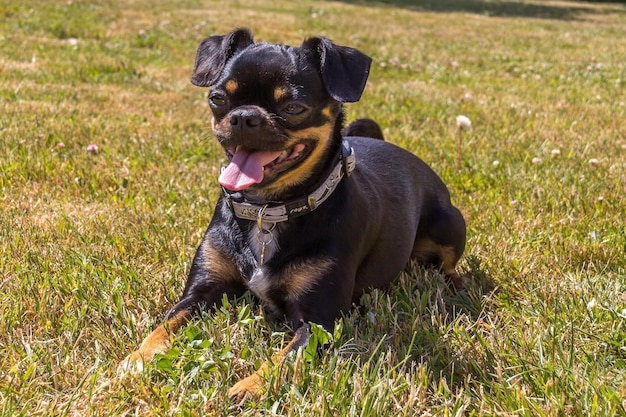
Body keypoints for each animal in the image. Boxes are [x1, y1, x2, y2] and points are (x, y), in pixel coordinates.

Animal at [119, 27, 466, 402]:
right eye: (217, 99)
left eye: (294, 107)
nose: (244, 116)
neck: (268, 212)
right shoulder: (202, 292)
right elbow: (164, 324)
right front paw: (136, 359)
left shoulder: (317, 322)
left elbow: (284, 358)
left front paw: (249, 386)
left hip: (449, 224)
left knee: (449, 263)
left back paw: (456, 284)